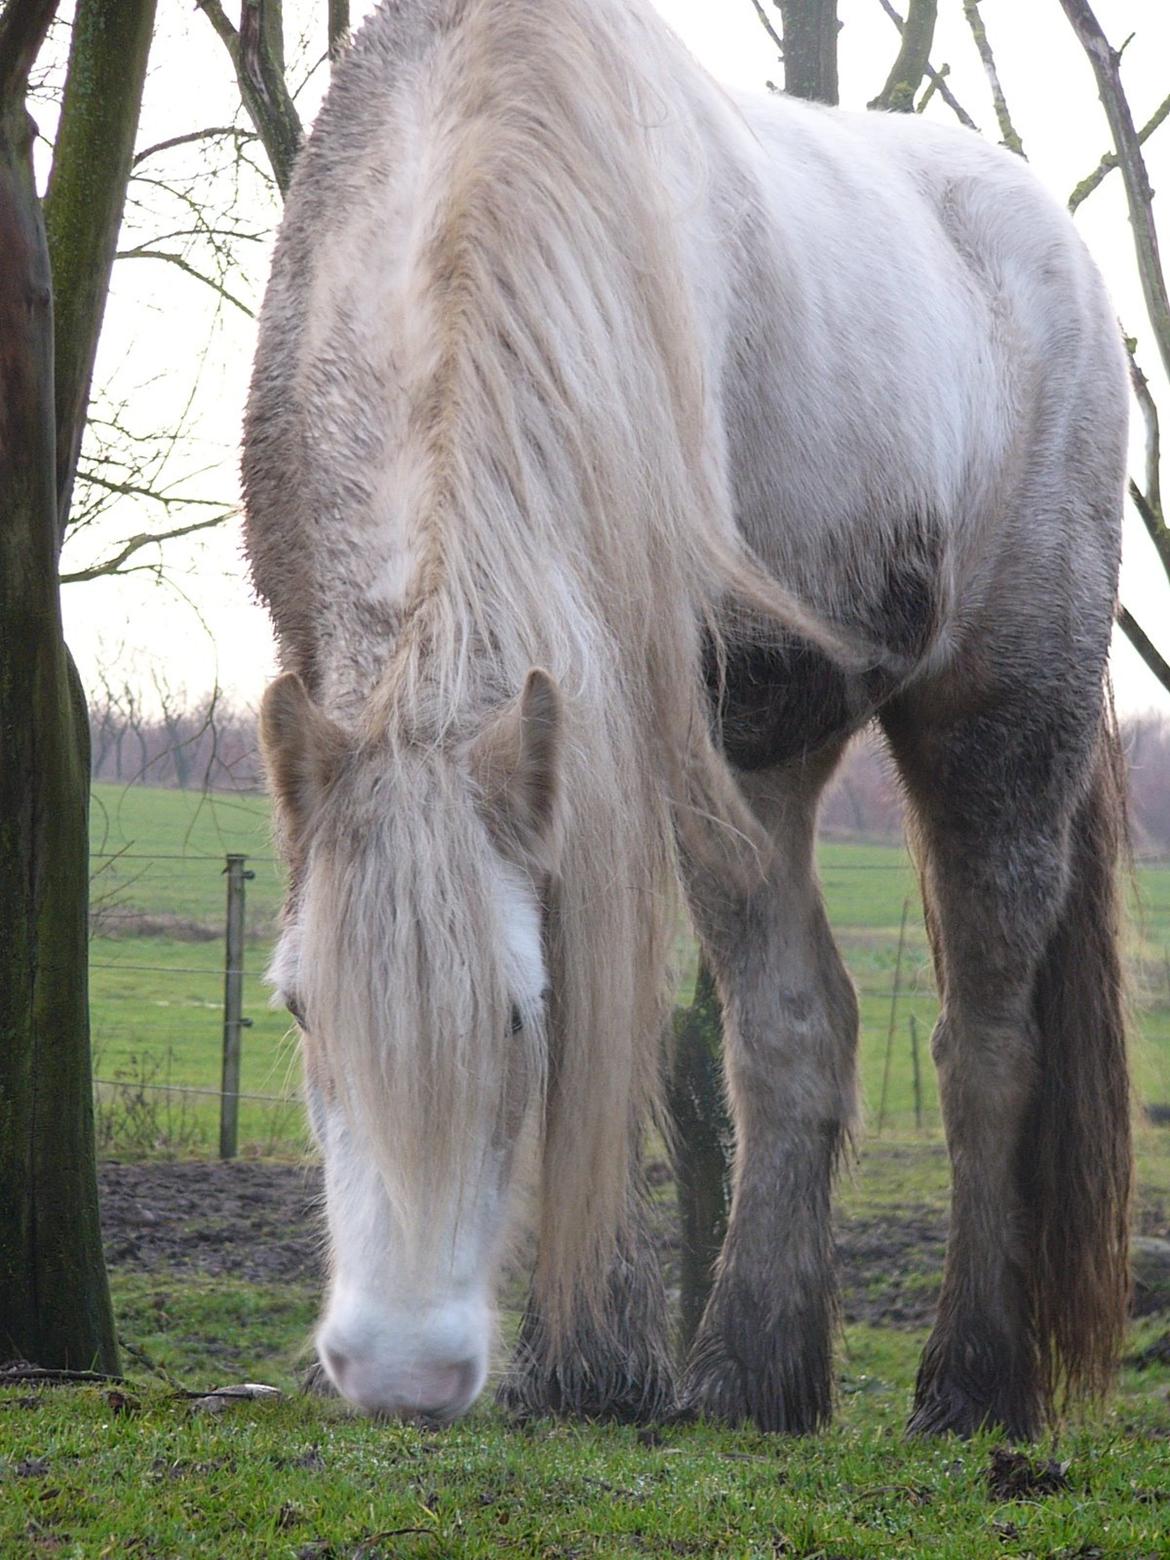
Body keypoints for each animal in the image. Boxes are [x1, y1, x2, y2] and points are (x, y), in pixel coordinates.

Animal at [243, 0, 1129, 1435]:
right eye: (300, 1009)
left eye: (519, 1013)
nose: (400, 1372)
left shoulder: (614, 735)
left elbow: (617, 1036)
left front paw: (591, 1356)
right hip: (758, 759)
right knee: (795, 1030)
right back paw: (750, 1371)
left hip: (1001, 730)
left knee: (986, 1041)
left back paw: (972, 1379)